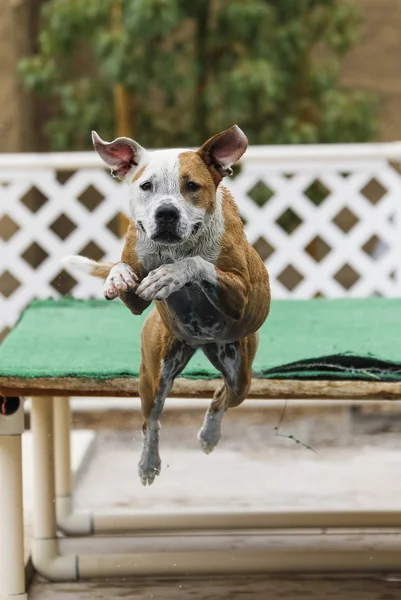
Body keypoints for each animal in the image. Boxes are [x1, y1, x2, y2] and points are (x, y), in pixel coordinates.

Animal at [64, 124, 270, 486]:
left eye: (192, 186)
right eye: (146, 185)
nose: (166, 212)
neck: (178, 246)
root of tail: (200, 343)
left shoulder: (239, 294)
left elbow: (196, 264)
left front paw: (170, 276)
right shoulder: (135, 295)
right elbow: (126, 273)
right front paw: (117, 277)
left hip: (239, 374)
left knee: (221, 398)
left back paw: (209, 436)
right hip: (154, 374)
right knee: (152, 420)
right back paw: (148, 464)